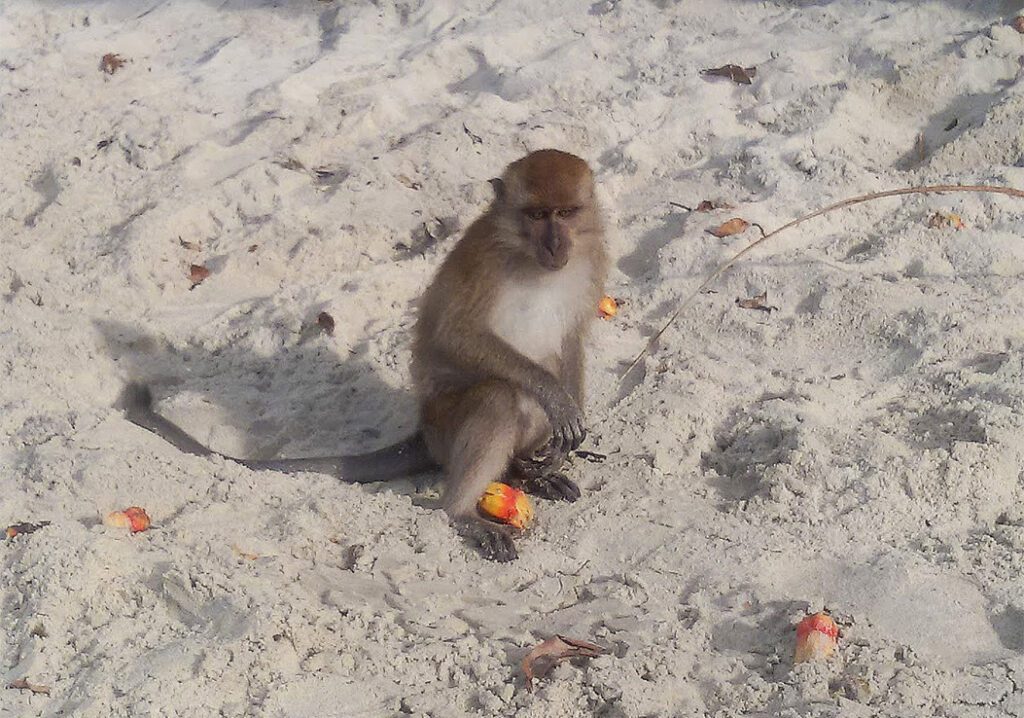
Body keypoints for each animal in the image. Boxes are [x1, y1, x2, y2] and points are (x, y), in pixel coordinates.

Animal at [123, 148, 610, 561]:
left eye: (566, 213)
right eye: (536, 214)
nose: (556, 243)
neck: (529, 259)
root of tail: (423, 431)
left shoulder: (591, 258)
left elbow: (571, 339)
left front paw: (566, 426)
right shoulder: (484, 261)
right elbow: (458, 336)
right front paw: (555, 397)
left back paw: (527, 469)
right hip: (445, 427)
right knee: (498, 396)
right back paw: (461, 510)